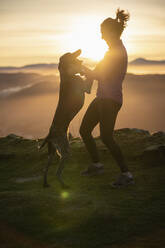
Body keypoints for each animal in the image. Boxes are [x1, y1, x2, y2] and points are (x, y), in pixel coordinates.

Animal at [38, 49, 93, 188]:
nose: (79, 50)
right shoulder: (86, 88)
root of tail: (50, 134)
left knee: (45, 169)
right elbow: (88, 74)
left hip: (52, 152)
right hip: (65, 151)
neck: (67, 75)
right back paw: (63, 184)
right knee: (56, 173)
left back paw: (46, 183)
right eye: (69, 54)